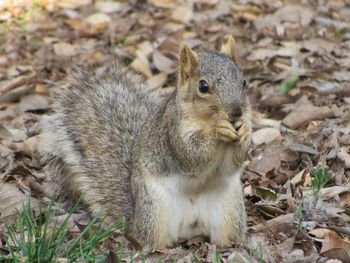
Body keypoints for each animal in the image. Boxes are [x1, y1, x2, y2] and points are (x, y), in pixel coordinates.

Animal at [38, 36, 252, 251]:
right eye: (203, 86)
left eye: (243, 81)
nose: (236, 113)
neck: (206, 120)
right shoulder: (171, 131)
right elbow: (192, 154)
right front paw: (219, 130)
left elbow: (232, 163)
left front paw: (245, 130)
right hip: (155, 212)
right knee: (153, 240)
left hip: (229, 212)